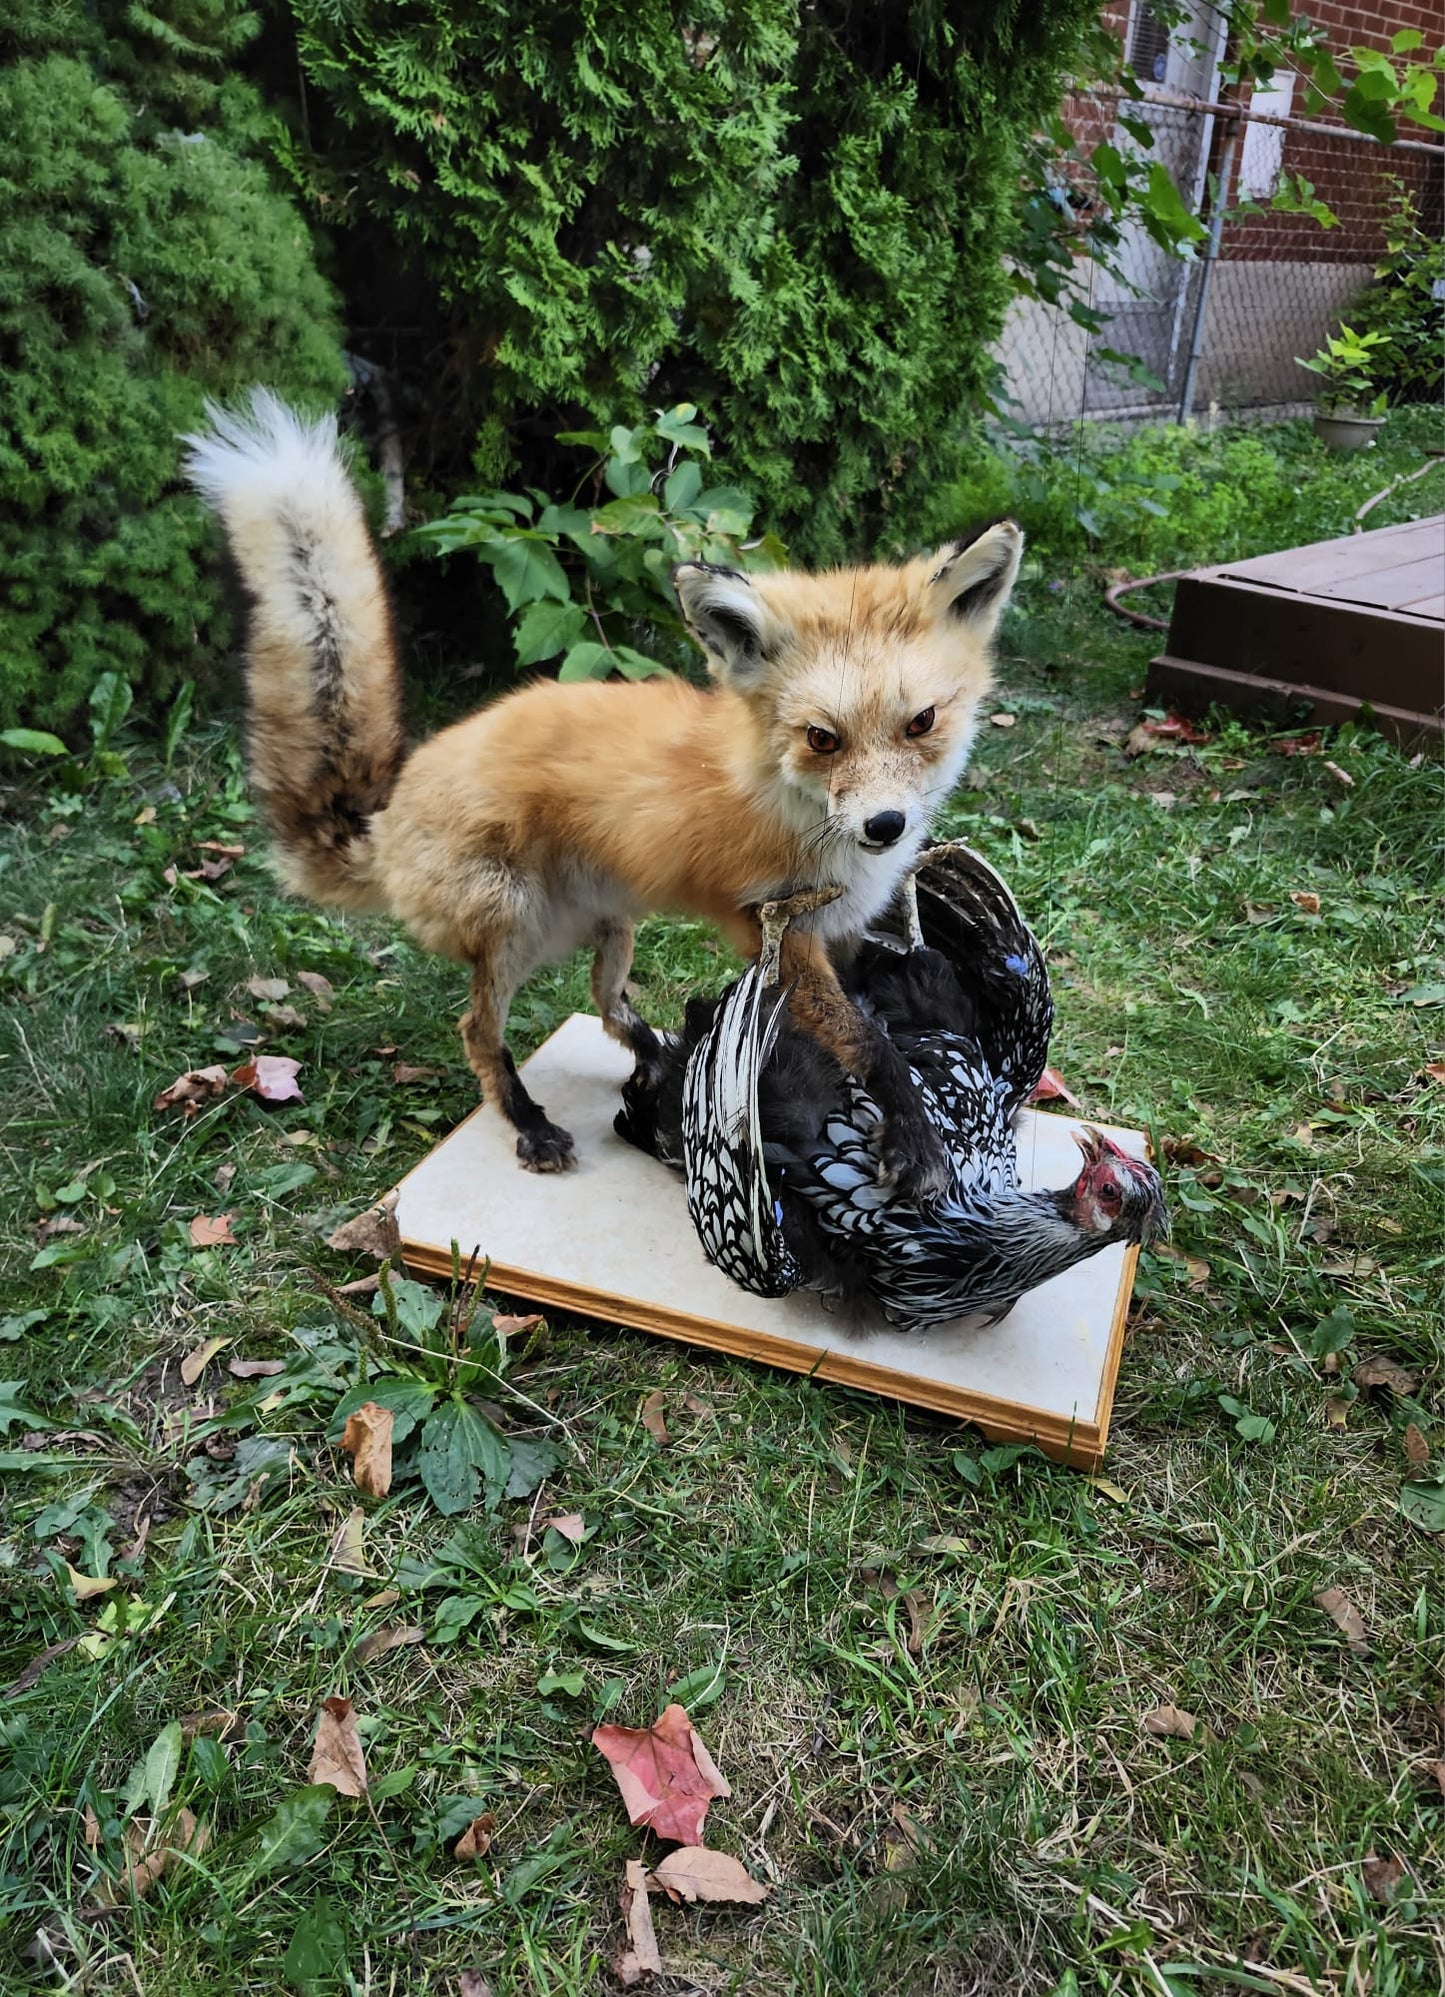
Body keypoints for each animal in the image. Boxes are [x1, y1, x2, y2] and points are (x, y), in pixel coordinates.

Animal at [183, 392, 1023, 1197]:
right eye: (822, 738)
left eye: (921, 722)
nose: (885, 825)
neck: (793, 807)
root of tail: (386, 816)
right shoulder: (774, 930)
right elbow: (866, 1038)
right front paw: (913, 1138)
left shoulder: (839, 929)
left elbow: (861, 1016)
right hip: (513, 924)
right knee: (476, 1029)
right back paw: (530, 1121)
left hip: (613, 923)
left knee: (604, 1000)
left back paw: (661, 1055)